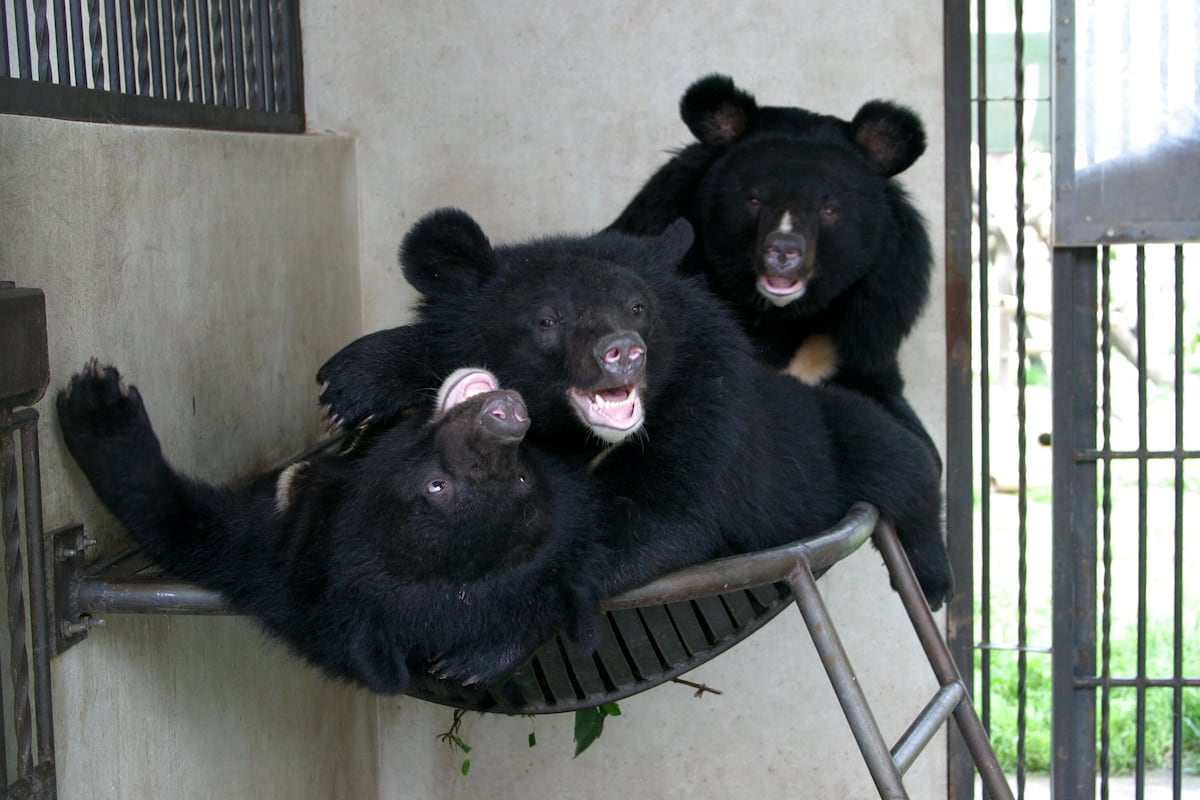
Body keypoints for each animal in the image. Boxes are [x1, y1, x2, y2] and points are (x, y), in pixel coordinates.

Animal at [57, 359, 602, 693]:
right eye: (523, 477)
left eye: (436, 485)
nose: (505, 417)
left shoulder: (271, 553)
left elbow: (187, 524)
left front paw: (98, 404)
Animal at [316, 209, 953, 609]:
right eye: (547, 320)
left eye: (638, 307)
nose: (622, 352)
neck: (581, 437)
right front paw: (350, 387)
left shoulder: (706, 409)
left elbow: (659, 516)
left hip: (837, 436)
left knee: (906, 470)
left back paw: (935, 577)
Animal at [607, 74, 938, 464]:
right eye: (754, 199)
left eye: (829, 210)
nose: (783, 251)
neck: (775, 317)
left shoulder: (869, 328)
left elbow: (911, 438)